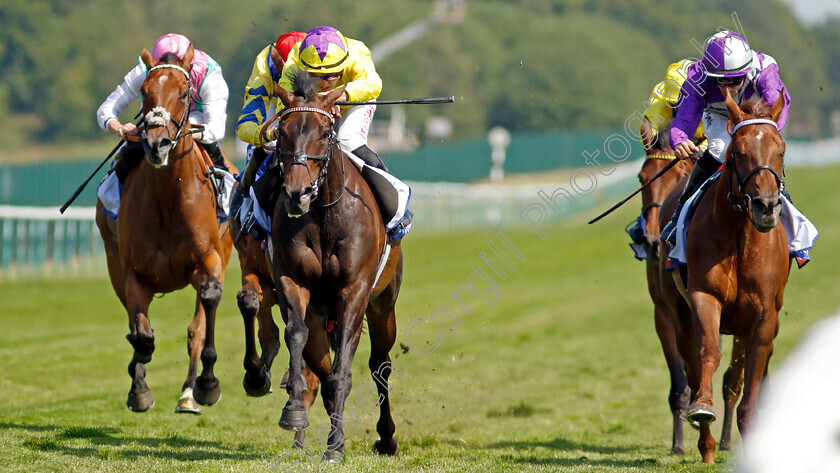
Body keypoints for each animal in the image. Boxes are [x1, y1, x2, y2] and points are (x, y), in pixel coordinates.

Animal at [94, 44, 233, 412]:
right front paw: (139, 385)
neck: (169, 197)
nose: (157, 145)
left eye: (184, 93)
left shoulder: (211, 258)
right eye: (144, 92)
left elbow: (206, 308)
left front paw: (207, 384)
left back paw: (189, 392)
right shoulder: (131, 272)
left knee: (197, 326)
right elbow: (140, 331)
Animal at [270, 74, 400, 460]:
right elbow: (295, 335)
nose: (297, 193)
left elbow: (344, 370)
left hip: (382, 304)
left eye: (326, 131)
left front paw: (335, 447)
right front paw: (294, 413)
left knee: (380, 365)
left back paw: (386, 437)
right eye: (281, 131)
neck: (326, 216)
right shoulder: (292, 281)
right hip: (321, 317)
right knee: (321, 365)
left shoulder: (354, 291)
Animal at [660, 90, 792, 462]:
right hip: (676, 313)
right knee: (691, 365)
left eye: (781, 150)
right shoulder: (704, 297)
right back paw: (705, 445)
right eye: (739, 153)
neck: (740, 238)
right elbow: (707, 355)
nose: (765, 206)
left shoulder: (763, 315)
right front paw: (703, 409)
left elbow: (751, 372)